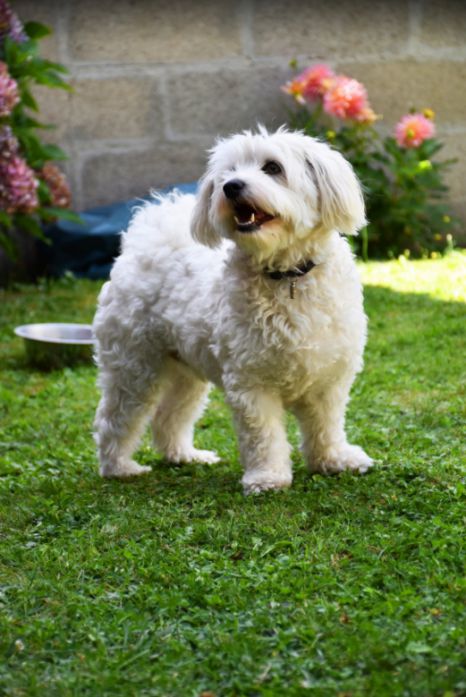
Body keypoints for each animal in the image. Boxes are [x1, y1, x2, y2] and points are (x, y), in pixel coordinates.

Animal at [93, 127, 373, 494]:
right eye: (228, 173)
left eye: (273, 167)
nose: (231, 186)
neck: (286, 276)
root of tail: (145, 239)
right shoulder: (251, 384)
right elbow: (264, 436)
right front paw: (267, 477)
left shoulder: (328, 379)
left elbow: (326, 425)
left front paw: (333, 460)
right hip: (135, 367)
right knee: (114, 418)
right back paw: (118, 467)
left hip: (185, 373)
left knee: (168, 416)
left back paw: (184, 456)